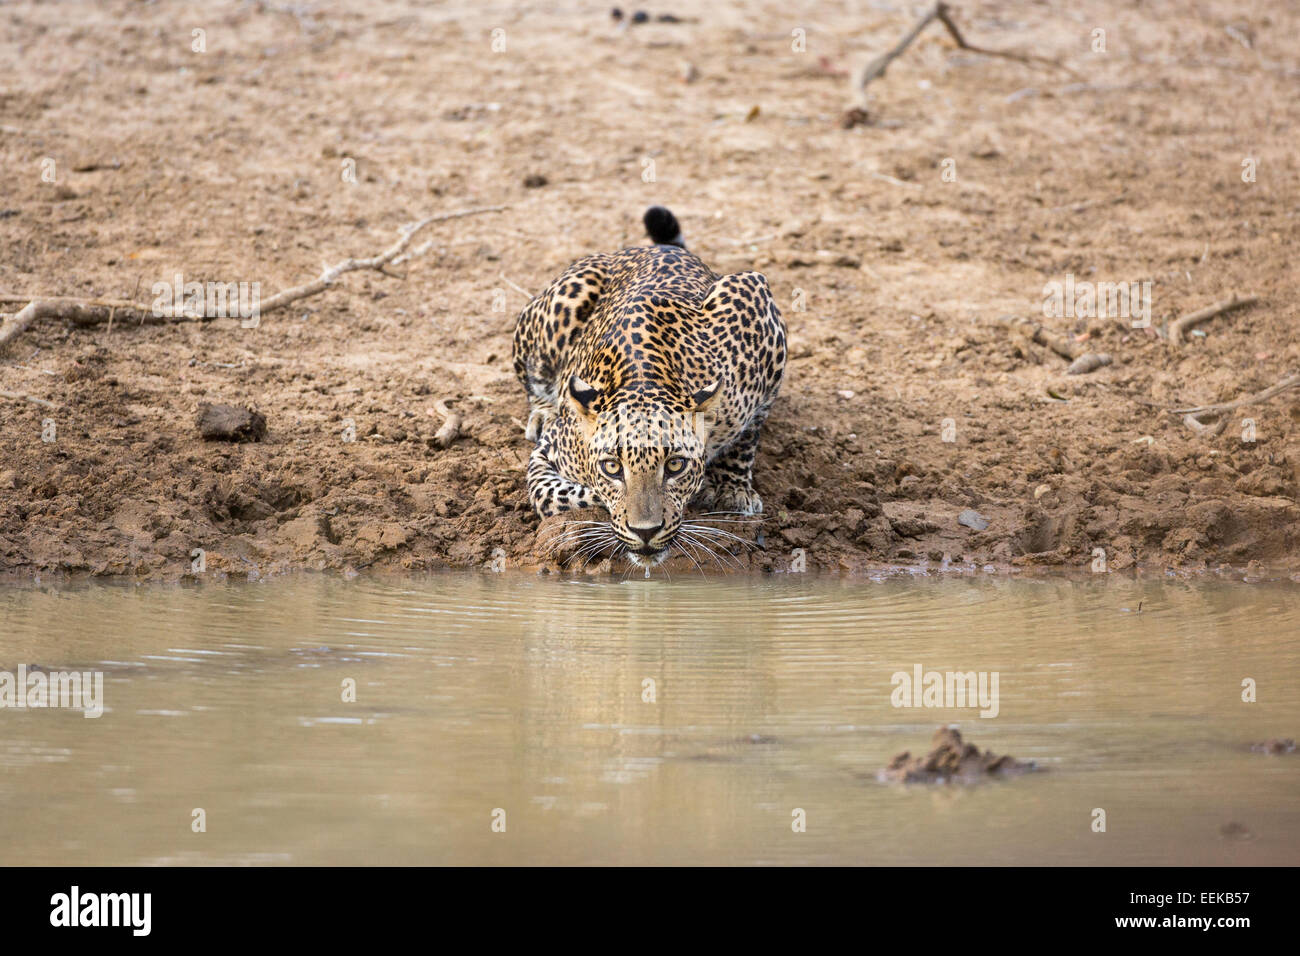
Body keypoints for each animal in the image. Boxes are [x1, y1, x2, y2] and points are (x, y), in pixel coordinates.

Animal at [511, 206, 787, 569]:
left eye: (675, 465)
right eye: (612, 467)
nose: (645, 531)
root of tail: (653, 249)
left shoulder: (756, 304)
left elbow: (748, 435)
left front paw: (733, 489)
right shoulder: (547, 454)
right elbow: (555, 497)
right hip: (561, 304)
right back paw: (543, 411)